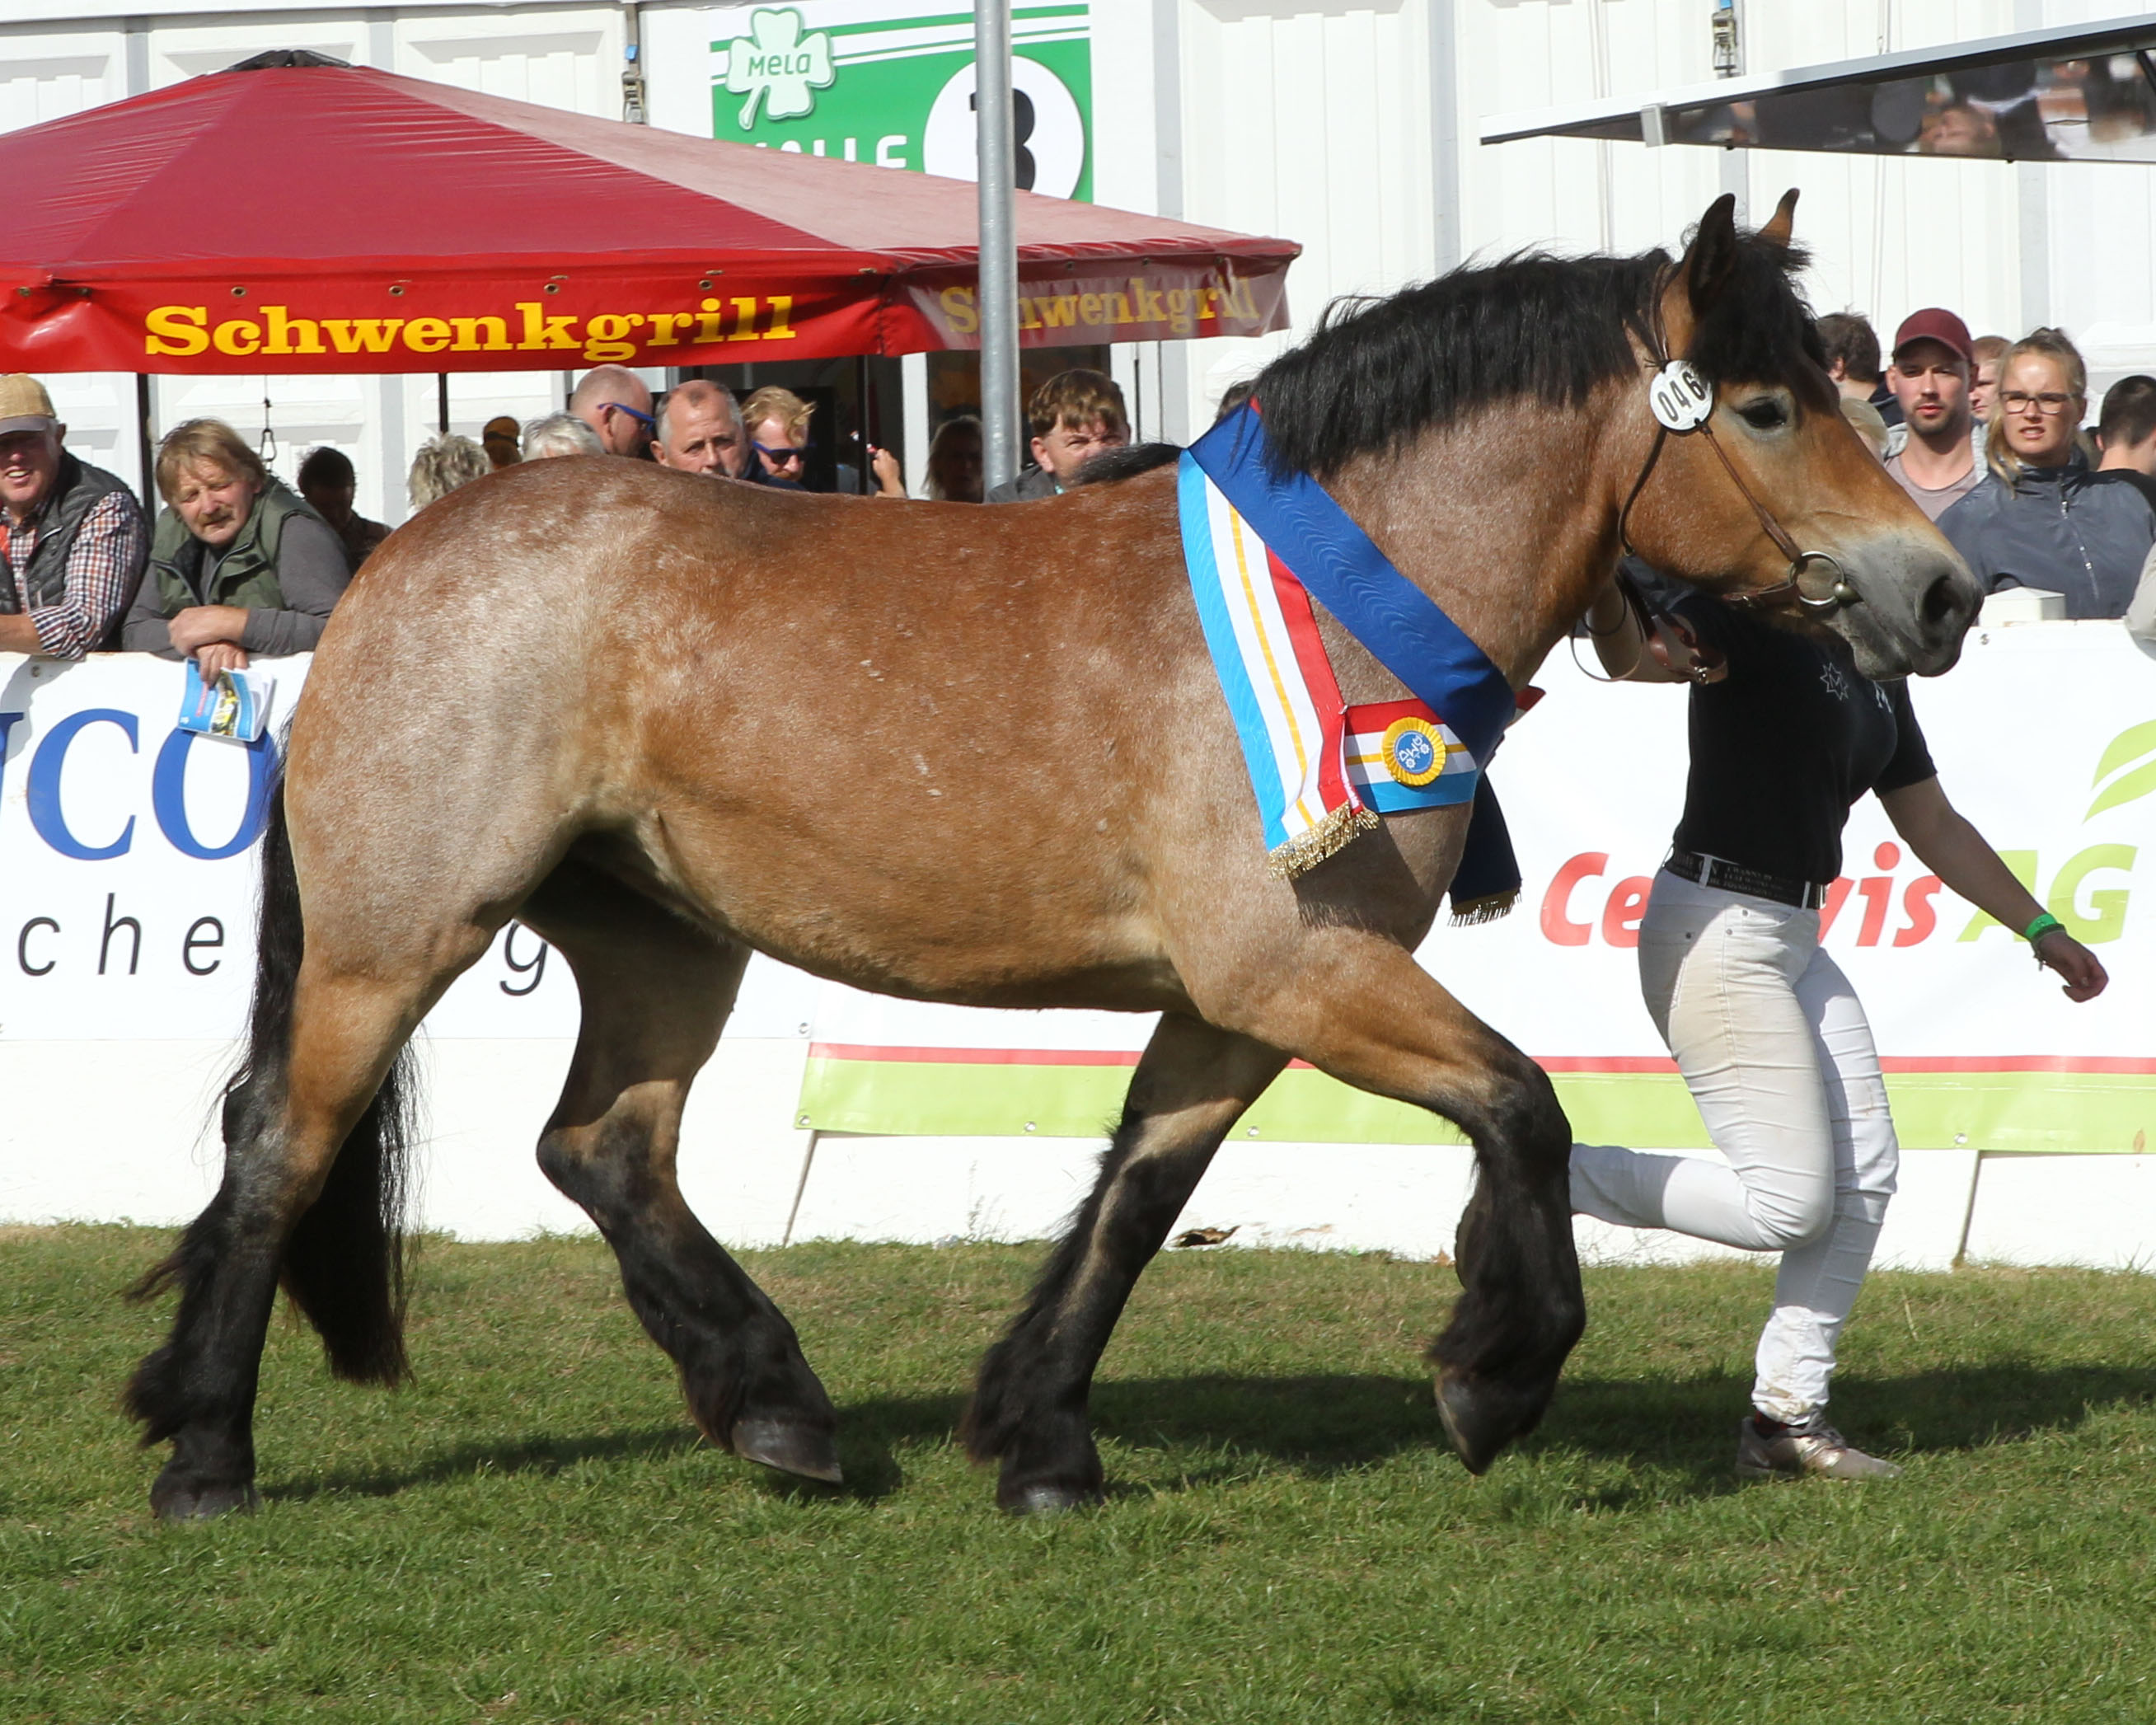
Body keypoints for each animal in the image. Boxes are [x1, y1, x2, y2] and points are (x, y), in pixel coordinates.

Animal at [126, 195, 1975, 1517]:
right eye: (1764, 404)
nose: (1941, 590)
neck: (1328, 603)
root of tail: (394, 566)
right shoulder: (1297, 968)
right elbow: (1525, 1105)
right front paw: (1491, 1373)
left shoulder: (1241, 997)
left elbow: (1141, 1193)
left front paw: (1041, 1440)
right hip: (403, 934)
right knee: (284, 1137)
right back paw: (207, 1452)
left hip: (664, 938)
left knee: (604, 1148)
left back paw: (779, 1410)